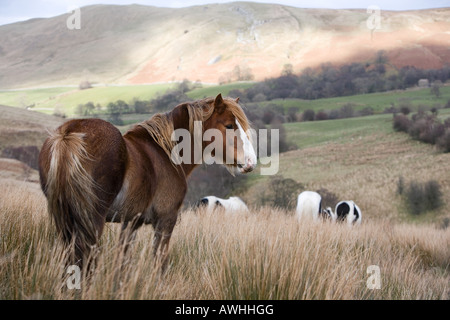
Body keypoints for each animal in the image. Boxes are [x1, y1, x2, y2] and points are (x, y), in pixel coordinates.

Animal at [37, 94, 256, 268]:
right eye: (229, 125)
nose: (250, 161)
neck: (165, 152)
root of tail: (68, 133)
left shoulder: (131, 223)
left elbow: (122, 264)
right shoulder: (165, 221)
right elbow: (159, 263)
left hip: (66, 222)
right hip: (91, 221)